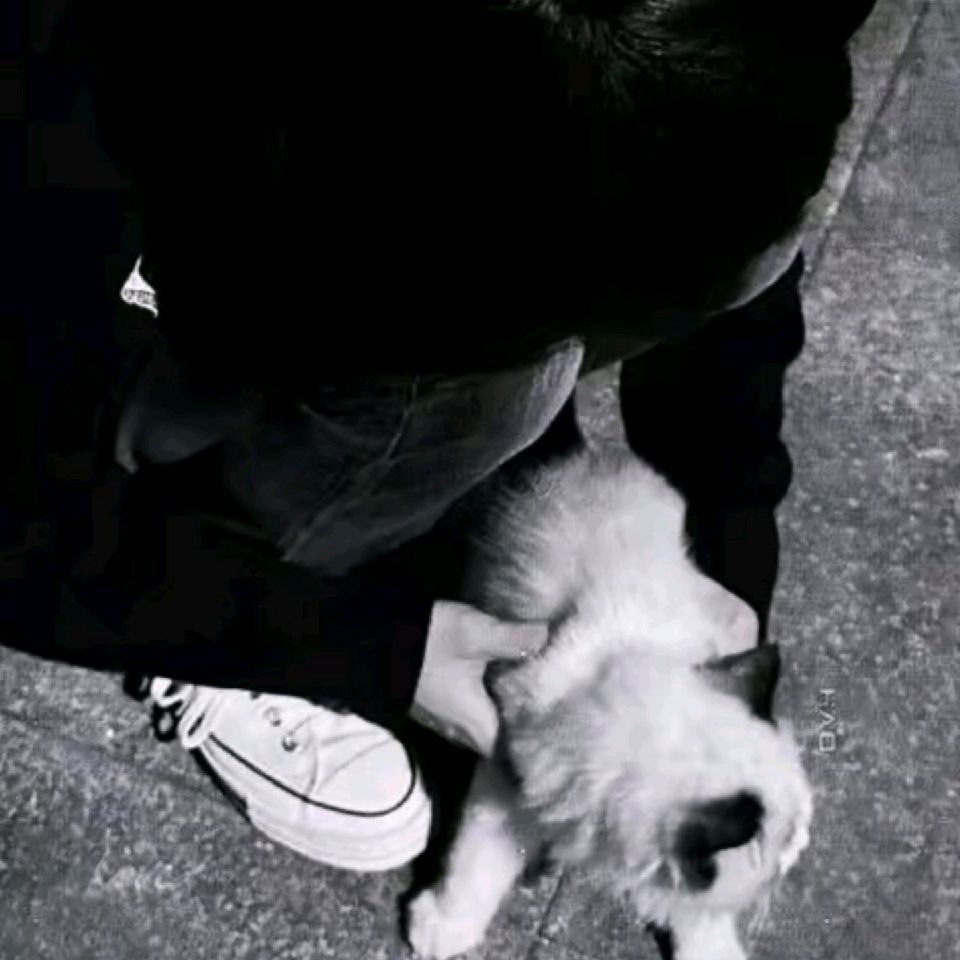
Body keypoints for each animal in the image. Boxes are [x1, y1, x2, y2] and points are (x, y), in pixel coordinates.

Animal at [403, 426, 813, 960]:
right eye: (782, 847)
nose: (800, 850)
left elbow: (696, 918)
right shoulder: (509, 770)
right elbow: (476, 859)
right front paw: (443, 924)